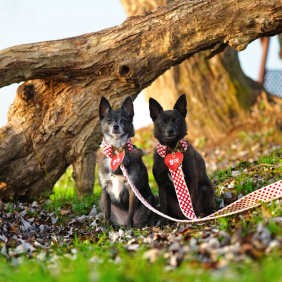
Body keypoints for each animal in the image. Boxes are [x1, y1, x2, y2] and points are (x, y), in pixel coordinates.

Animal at [97, 96, 156, 228]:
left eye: (123, 121)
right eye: (108, 121)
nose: (115, 126)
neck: (117, 151)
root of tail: (121, 223)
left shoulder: (132, 189)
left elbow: (130, 212)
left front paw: (130, 227)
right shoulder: (105, 191)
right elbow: (107, 213)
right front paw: (107, 227)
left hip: (151, 198)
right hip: (101, 201)